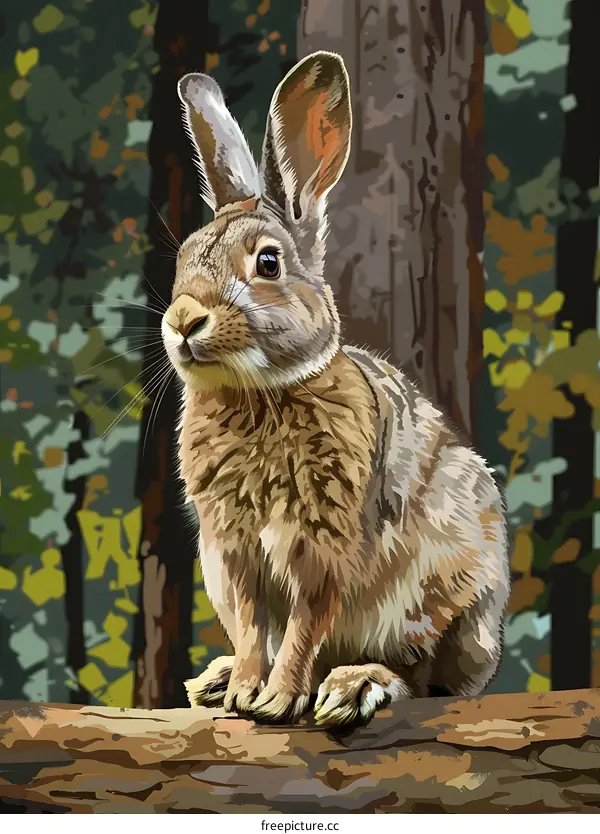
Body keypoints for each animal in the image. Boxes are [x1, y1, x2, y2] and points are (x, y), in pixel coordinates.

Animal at [161, 50, 510, 727]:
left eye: (268, 264)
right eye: (183, 260)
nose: (183, 321)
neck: (259, 392)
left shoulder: (325, 542)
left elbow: (305, 623)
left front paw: (275, 700)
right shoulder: (232, 551)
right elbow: (253, 625)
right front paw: (245, 691)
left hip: (446, 593)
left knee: (425, 678)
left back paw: (354, 685)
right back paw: (217, 682)